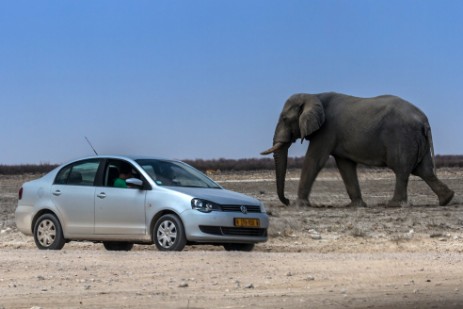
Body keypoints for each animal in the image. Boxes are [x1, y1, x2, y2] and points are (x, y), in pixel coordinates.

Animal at [262, 91, 454, 207]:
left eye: (285, 119)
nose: (286, 201)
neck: (314, 95)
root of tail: (424, 120)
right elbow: (345, 166)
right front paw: (356, 206)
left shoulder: (326, 131)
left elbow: (314, 160)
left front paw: (299, 205)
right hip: (417, 140)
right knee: (424, 170)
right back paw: (447, 199)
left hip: (403, 138)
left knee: (402, 170)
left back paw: (392, 205)